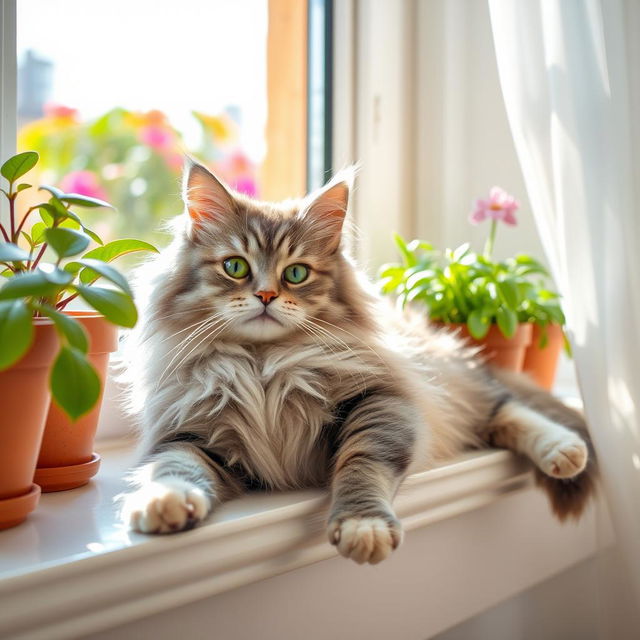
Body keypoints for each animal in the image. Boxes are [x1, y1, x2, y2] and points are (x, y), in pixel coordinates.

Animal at [119, 160, 596, 564]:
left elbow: (362, 465)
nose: (266, 296)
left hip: (457, 388)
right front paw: (162, 503)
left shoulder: (381, 401)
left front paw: (363, 526)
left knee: (505, 408)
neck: (263, 366)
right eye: (235, 267)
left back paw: (564, 450)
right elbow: (174, 467)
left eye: (296, 273)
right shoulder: (190, 432)